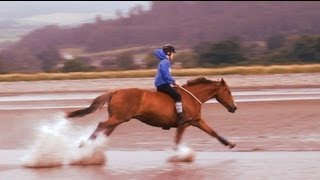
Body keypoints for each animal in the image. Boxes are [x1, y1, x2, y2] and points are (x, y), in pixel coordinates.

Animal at [65, 76, 238, 149]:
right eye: (228, 91)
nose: (234, 107)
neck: (191, 97)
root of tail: (116, 91)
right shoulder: (183, 124)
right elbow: (177, 141)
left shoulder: (197, 121)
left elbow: (214, 133)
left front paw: (230, 143)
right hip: (118, 118)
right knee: (101, 125)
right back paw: (83, 144)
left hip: (117, 119)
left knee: (104, 130)